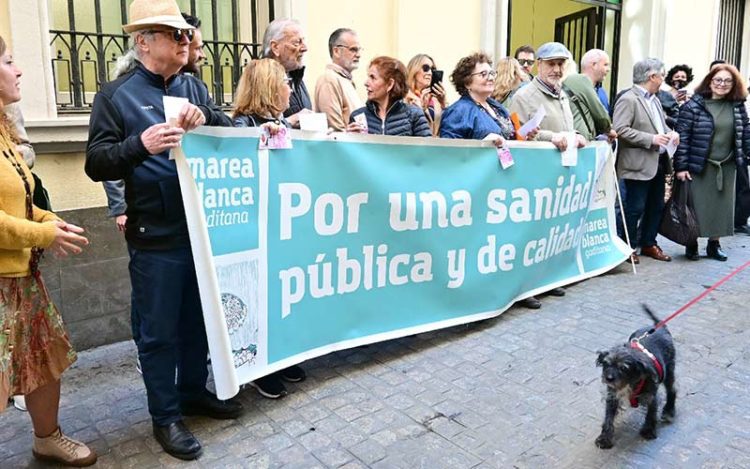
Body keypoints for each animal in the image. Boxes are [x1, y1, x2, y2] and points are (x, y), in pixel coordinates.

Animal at [596, 306, 680, 448]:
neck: (629, 383)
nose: (608, 378)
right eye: (606, 364)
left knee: (672, 390)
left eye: (624, 368)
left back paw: (669, 411)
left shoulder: (650, 394)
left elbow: (651, 412)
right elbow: (608, 417)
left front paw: (648, 430)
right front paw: (605, 438)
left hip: (669, 370)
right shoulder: (612, 395)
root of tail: (659, 326)